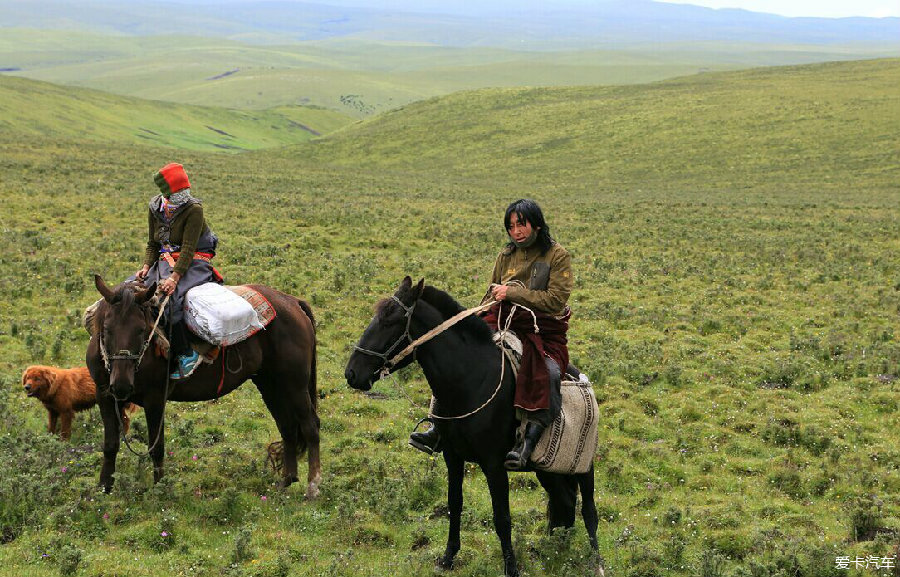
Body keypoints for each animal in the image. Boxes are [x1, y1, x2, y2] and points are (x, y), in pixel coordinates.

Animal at [87, 274, 320, 496]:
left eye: (141, 329)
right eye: (107, 328)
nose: (122, 385)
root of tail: (293, 302)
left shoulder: (155, 398)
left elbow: (156, 446)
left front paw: (160, 489)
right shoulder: (105, 396)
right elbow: (110, 444)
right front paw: (103, 488)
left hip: (295, 385)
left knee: (310, 426)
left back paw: (313, 486)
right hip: (271, 384)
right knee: (287, 427)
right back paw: (286, 481)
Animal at [344, 276, 596, 572]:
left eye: (390, 321)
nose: (352, 373)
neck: (469, 381)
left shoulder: (494, 464)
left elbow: (502, 517)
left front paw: (511, 567)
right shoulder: (453, 457)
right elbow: (454, 504)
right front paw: (448, 557)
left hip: (583, 466)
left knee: (589, 511)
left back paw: (595, 559)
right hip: (548, 470)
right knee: (564, 501)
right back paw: (557, 549)